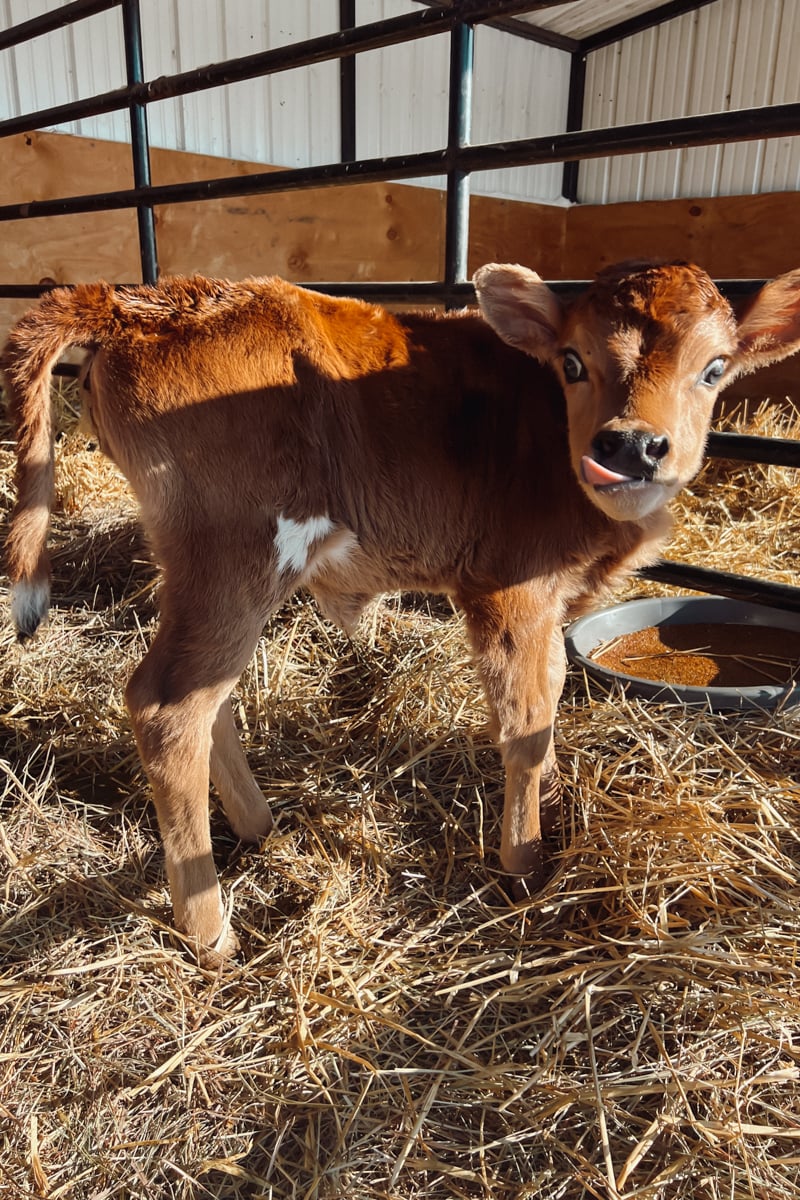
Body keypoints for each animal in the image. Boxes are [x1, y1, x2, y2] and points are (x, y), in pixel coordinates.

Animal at [5, 261, 800, 961]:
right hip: (235, 551)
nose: (630, 447)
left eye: (714, 368)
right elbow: (526, 721)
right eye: (572, 362)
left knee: (206, 696)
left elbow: (551, 700)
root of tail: (144, 301)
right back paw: (211, 934)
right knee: (168, 706)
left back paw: (258, 825)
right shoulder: (510, 590)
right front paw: (524, 863)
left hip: (206, 569)